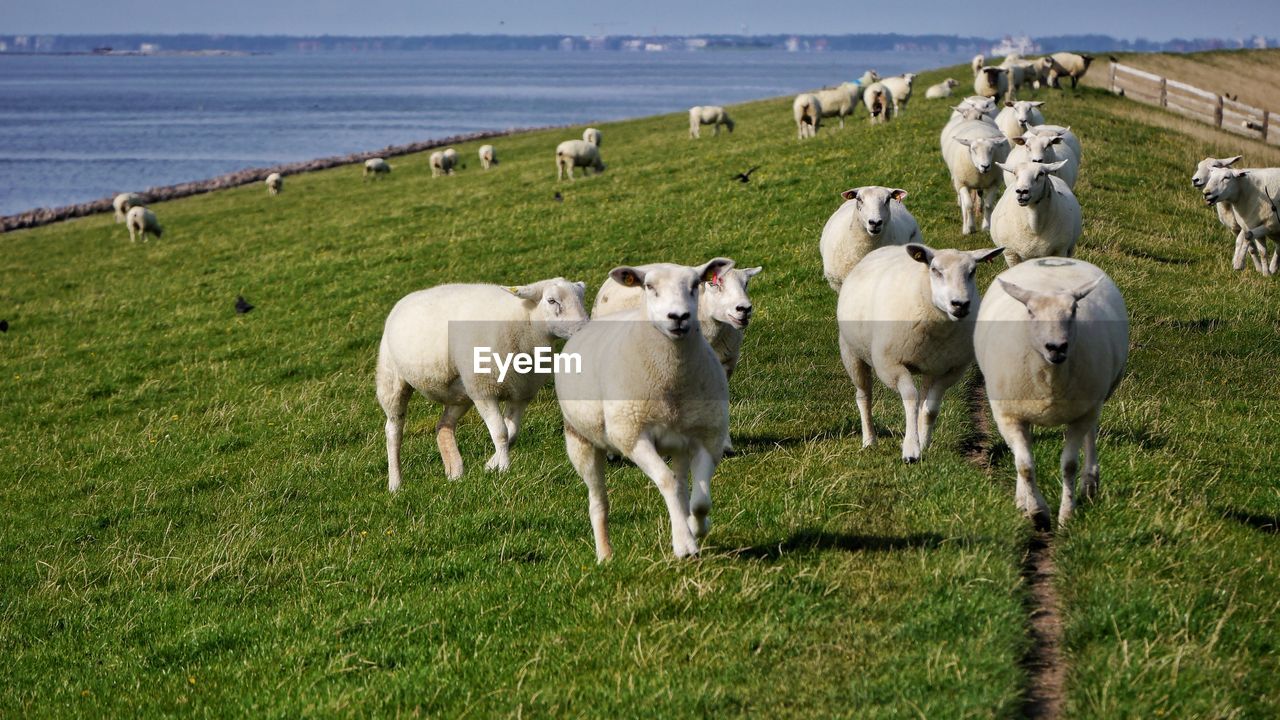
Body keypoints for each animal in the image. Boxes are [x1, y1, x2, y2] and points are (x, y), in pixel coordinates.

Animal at [373, 274, 586, 486]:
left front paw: (490, 466)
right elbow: (501, 433)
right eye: (552, 301)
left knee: (444, 426)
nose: (583, 328)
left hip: (461, 393)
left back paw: (455, 472)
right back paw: (396, 483)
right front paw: (505, 469)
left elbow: (512, 433)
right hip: (391, 380)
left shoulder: (521, 393)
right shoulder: (484, 391)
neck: (524, 322)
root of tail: (405, 299)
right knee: (393, 432)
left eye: (581, 298)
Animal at [555, 257, 737, 561]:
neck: (671, 380)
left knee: (683, 485)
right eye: (649, 286)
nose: (678, 316)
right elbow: (667, 482)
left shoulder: (707, 436)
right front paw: (684, 544)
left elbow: (699, 500)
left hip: (680, 441)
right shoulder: (633, 435)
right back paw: (605, 555)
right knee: (598, 501)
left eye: (695, 285)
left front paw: (695, 528)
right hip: (580, 440)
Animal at [839, 242, 1008, 458]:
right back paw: (869, 440)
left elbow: (930, 408)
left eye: (973, 271)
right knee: (863, 396)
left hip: (931, 365)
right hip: (851, 353)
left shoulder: (951, 370)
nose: (960, 304)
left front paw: (923, 444)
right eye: (935, 270)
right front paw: (911, 449)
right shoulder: (890, 365)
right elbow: (911, 398)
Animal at [972, 257, 1126, 527]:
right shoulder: (1009, 415)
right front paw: (1037, 511)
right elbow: (1024, 465)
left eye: (1074, 310)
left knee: (1091, 435)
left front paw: (1067, 515)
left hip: (1094, 400)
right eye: (1030, 312)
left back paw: (1090, 483)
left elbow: (1069, 465)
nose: (1057, 347)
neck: (1050, 377)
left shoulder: (1081, 413)